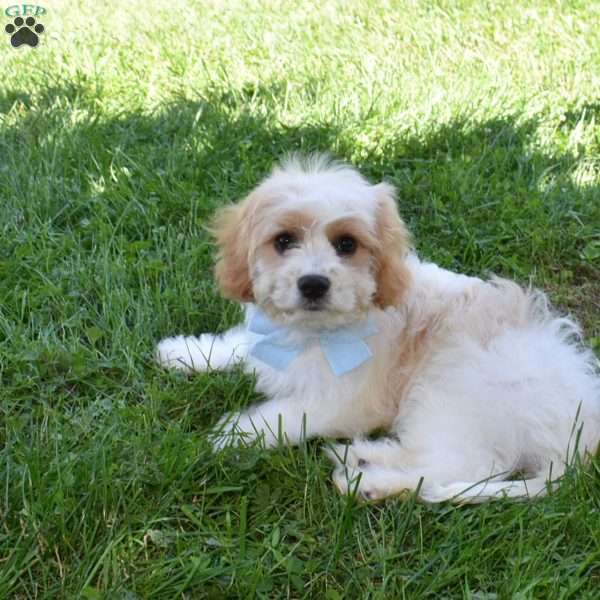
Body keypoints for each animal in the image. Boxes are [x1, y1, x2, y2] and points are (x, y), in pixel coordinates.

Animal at [157, 155, 600, 502]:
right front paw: (182, 352)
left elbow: (285, 415)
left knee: (456, 467)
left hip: (457, 390)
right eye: (283, 241)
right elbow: (238, 345)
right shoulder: (266, 338)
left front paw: (232, 434)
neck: (312, 332)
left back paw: (369, 482)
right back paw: (361, 455)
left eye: (346, 244)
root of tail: (579, 432)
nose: (313, 283)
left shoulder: (345, 399)